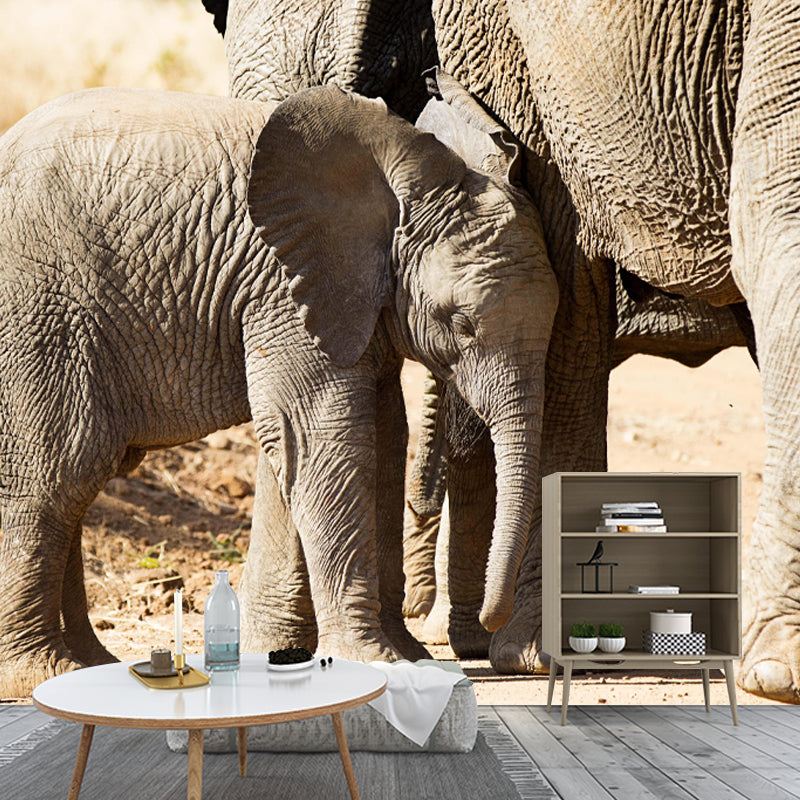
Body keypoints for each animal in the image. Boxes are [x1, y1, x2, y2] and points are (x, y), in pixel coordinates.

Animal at [0, 83, 559, 697]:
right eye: (461, 324)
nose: (488, 623)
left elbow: (386, 437)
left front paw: (406, 657)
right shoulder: (281, 284)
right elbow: (327, 436)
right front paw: (379, 662)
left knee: (72, 485)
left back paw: (86, 668)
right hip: (43, 310)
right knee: (59, 470)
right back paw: (42, 674)